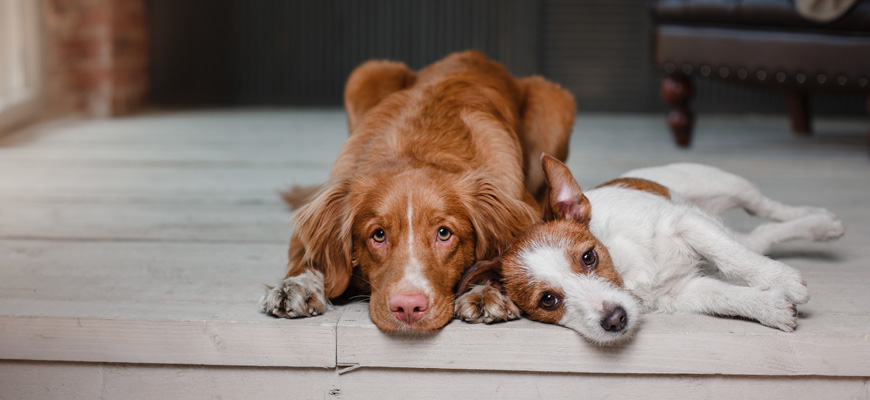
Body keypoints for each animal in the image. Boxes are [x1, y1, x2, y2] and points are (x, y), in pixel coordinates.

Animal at [266, 50, 580, 332]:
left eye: (444, 233)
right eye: (378, 235)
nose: (407, 307)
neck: (418, 146)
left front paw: (485, 290)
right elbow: (304, 255)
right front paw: (296, 285)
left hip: (555, 103)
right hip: (366, 75)